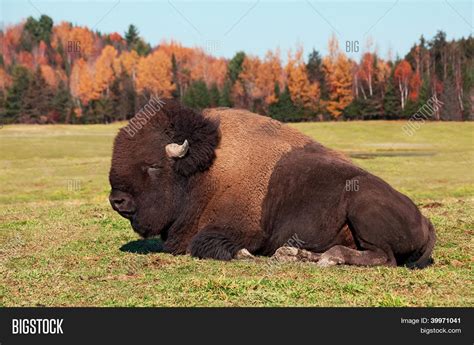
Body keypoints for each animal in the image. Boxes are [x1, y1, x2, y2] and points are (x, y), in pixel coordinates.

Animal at [109, 101, 436, 268]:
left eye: (153, 165)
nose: (117, 200)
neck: (204, 172)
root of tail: (425, 220)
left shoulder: (244, 230)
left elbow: (206, 244)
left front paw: (243, 254)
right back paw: (297, 254)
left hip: (361, 207)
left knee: (383, 257)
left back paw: (328, 258)